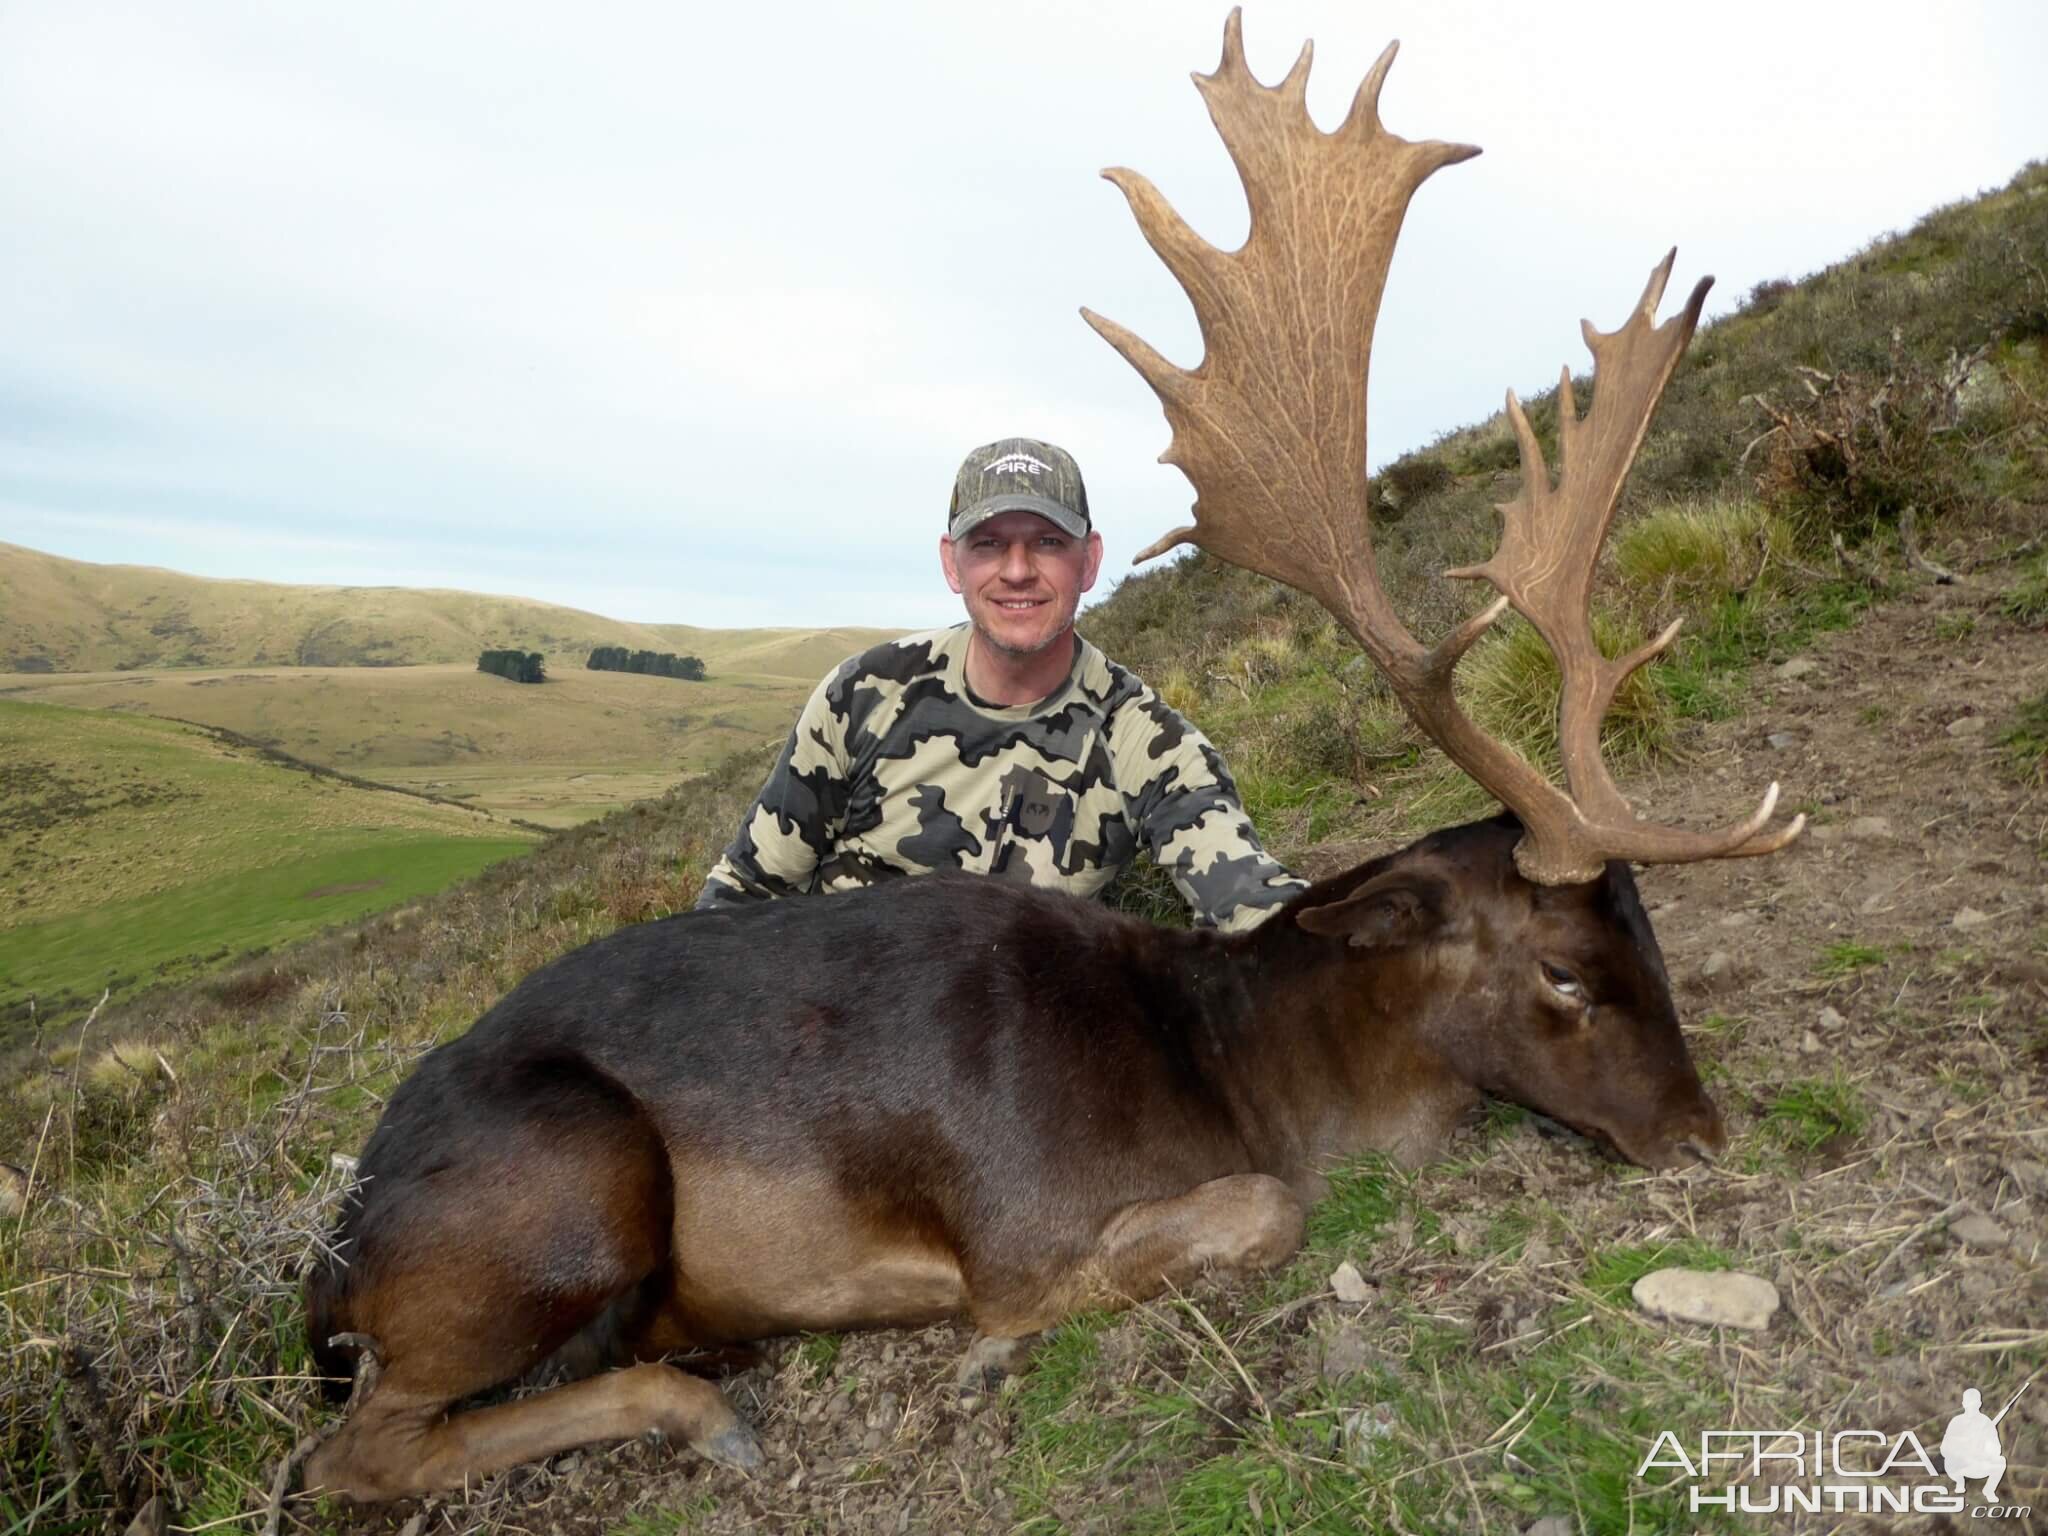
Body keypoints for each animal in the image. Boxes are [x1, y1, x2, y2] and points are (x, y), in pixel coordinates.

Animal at [299, 12, 1794, 1507]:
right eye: (1563, 973)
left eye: (1650, 939)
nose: (1704, 1135)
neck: (1238, 1070)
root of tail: (330, 1258)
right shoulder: (1022, 1229)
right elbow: (1258, 1212)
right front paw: (982, 1356)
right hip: (566, 1189)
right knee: (351, 1451)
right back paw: (699, 1409)